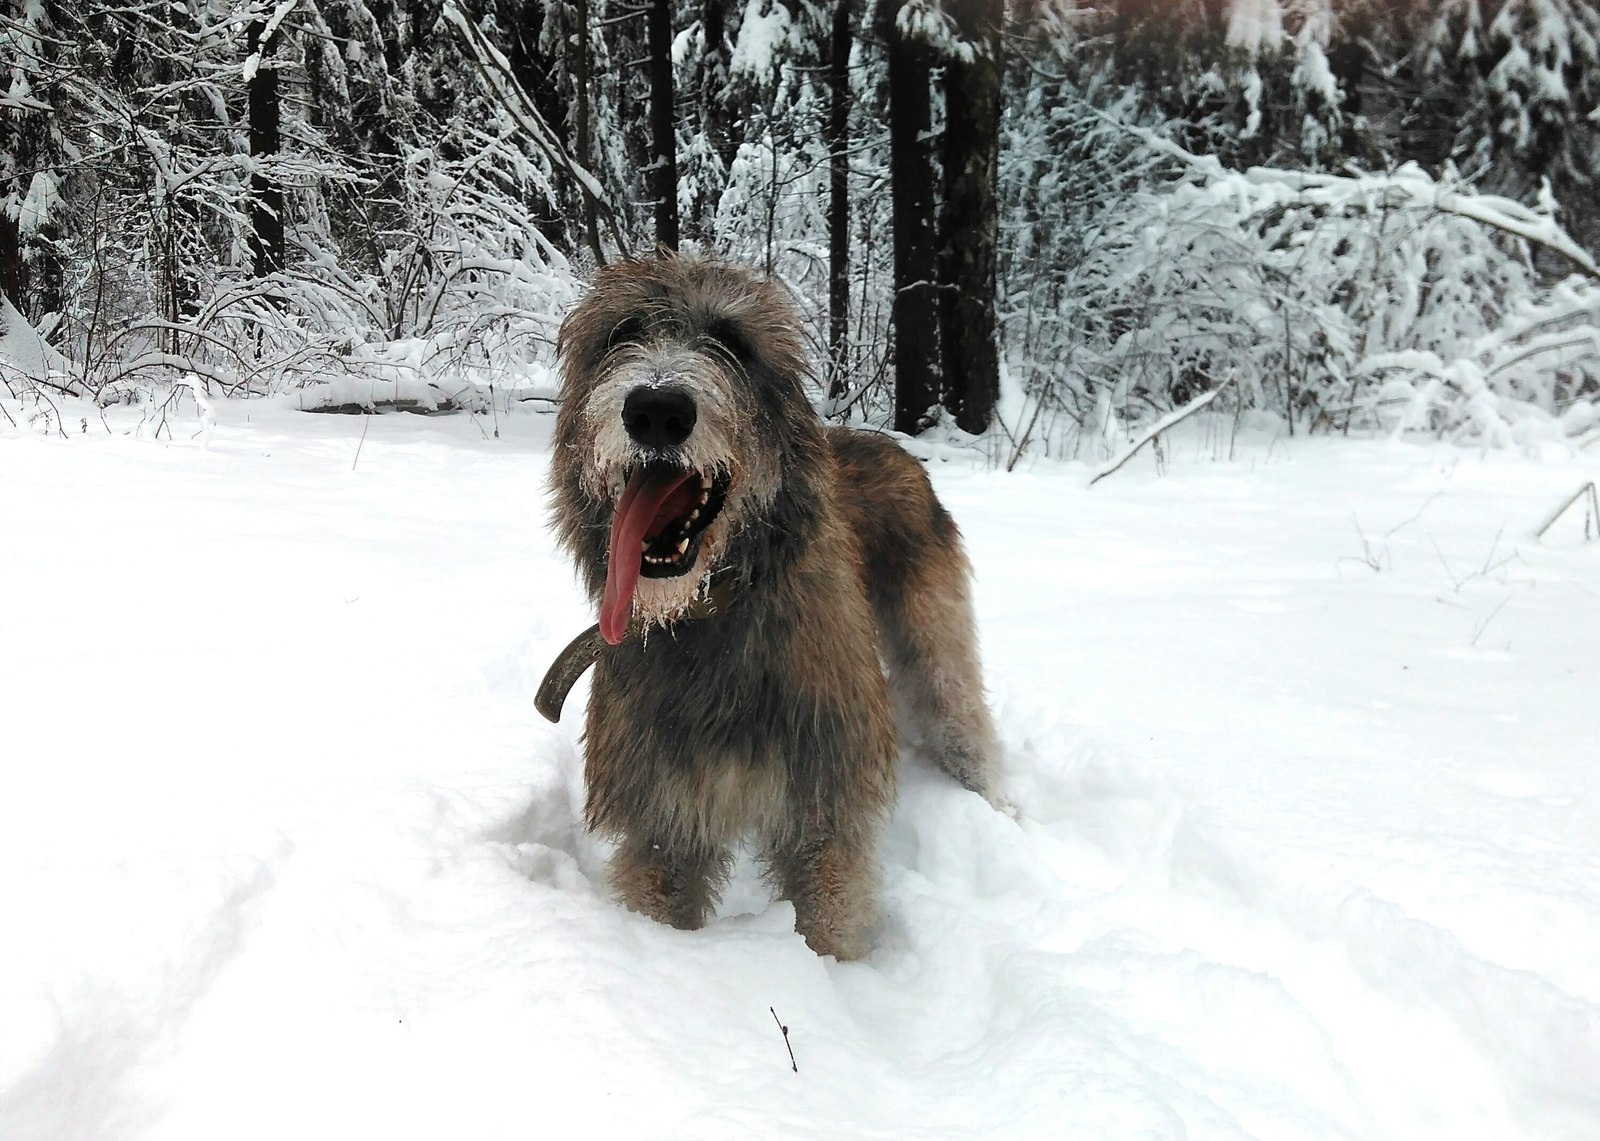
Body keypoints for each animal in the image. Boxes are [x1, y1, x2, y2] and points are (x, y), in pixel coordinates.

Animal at [550, 254, 998, 953]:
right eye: (620, 333)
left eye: (732, 341)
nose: (657, 409)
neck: (712, 612)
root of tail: (896, 446)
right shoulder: (663, 819)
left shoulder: (824, 804)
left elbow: (830, 917)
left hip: (936, 648)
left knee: (961, 720)